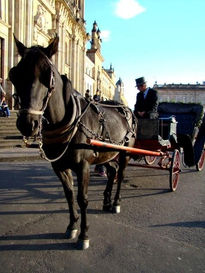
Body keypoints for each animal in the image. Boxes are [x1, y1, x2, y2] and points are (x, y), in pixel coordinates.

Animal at [9, 36, 137, 249]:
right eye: (15, 75)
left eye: (48, 75)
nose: (28, 124)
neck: (67, 122)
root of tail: (126, 109)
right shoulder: (59, 166)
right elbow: (69, 195)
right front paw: (72, 226)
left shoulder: (83, 166)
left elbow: (82, 198)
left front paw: (84, 234)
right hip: (106, 153)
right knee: (112, 172)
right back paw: (106, 201)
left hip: (124, 151)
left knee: (121, 174)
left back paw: (116, 202)